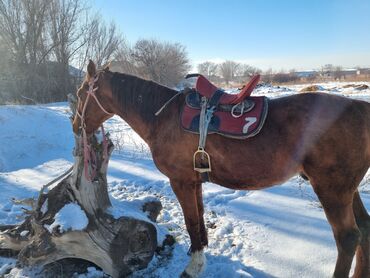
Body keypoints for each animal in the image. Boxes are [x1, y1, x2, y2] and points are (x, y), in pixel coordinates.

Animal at [73, 59, 370, 276]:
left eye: (80, 93)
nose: (76, 126)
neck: (161, 117)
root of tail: (361, 108)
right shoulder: (194, 182)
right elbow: (199, 221)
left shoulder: (180, 181)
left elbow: (191, 223)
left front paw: (193, 267)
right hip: (347, 189)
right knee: (363, 230)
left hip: (332, 189)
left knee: (347, 238)